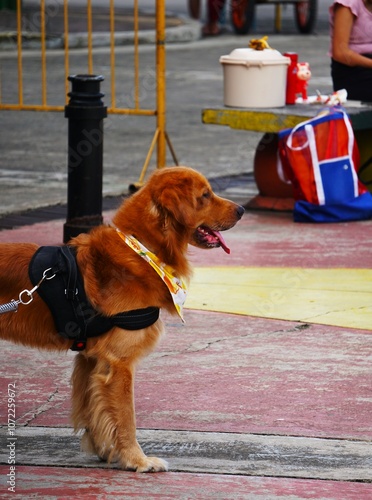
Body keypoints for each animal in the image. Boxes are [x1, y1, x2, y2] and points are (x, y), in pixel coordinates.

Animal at [0, 167, 244, 472]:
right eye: (205, 195)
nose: (243, 209)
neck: (142, 248)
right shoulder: (119, 363)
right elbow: (126, 417)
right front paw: (137, 459)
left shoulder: (91, 360)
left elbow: (94, 411)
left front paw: (105, 451)